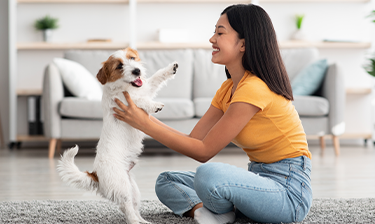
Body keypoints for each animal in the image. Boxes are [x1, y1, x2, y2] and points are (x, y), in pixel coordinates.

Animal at [58, 47, 178, 224]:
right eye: (119, 66)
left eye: (132, 58)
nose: (137, 71)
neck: (127, 88)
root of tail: (96, 175)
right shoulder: (126, 104)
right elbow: (139, 101)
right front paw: (154, 105)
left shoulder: (145, 88)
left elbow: (155, 79)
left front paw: (171, 68)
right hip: (123, 187)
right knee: (128, 211)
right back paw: (135, 221)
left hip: (133, 189)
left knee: (133, 209)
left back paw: (144, 221)